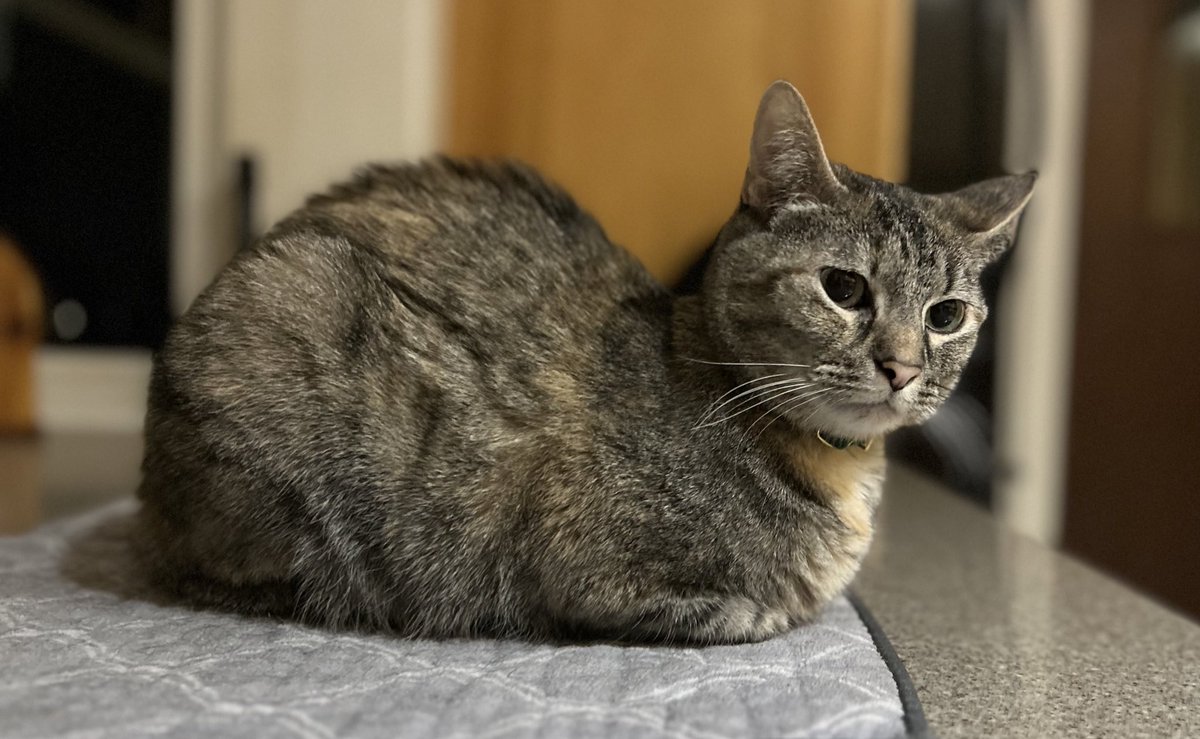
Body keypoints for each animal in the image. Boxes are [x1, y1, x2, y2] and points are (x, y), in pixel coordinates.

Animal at [131, 82, 1032, 643]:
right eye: (843, 288)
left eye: (946, 315)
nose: (902, 367)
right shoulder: (581, 570)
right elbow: (743, 611)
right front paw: (762, 607)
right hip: (295, 314)